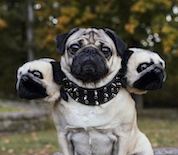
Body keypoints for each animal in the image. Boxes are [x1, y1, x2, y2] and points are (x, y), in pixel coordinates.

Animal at [53, 27, 154, 155]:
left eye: (105, 50)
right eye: (74, 47)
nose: (90, 50)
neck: (91, 93)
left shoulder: (122, 137)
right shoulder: (63, 135)